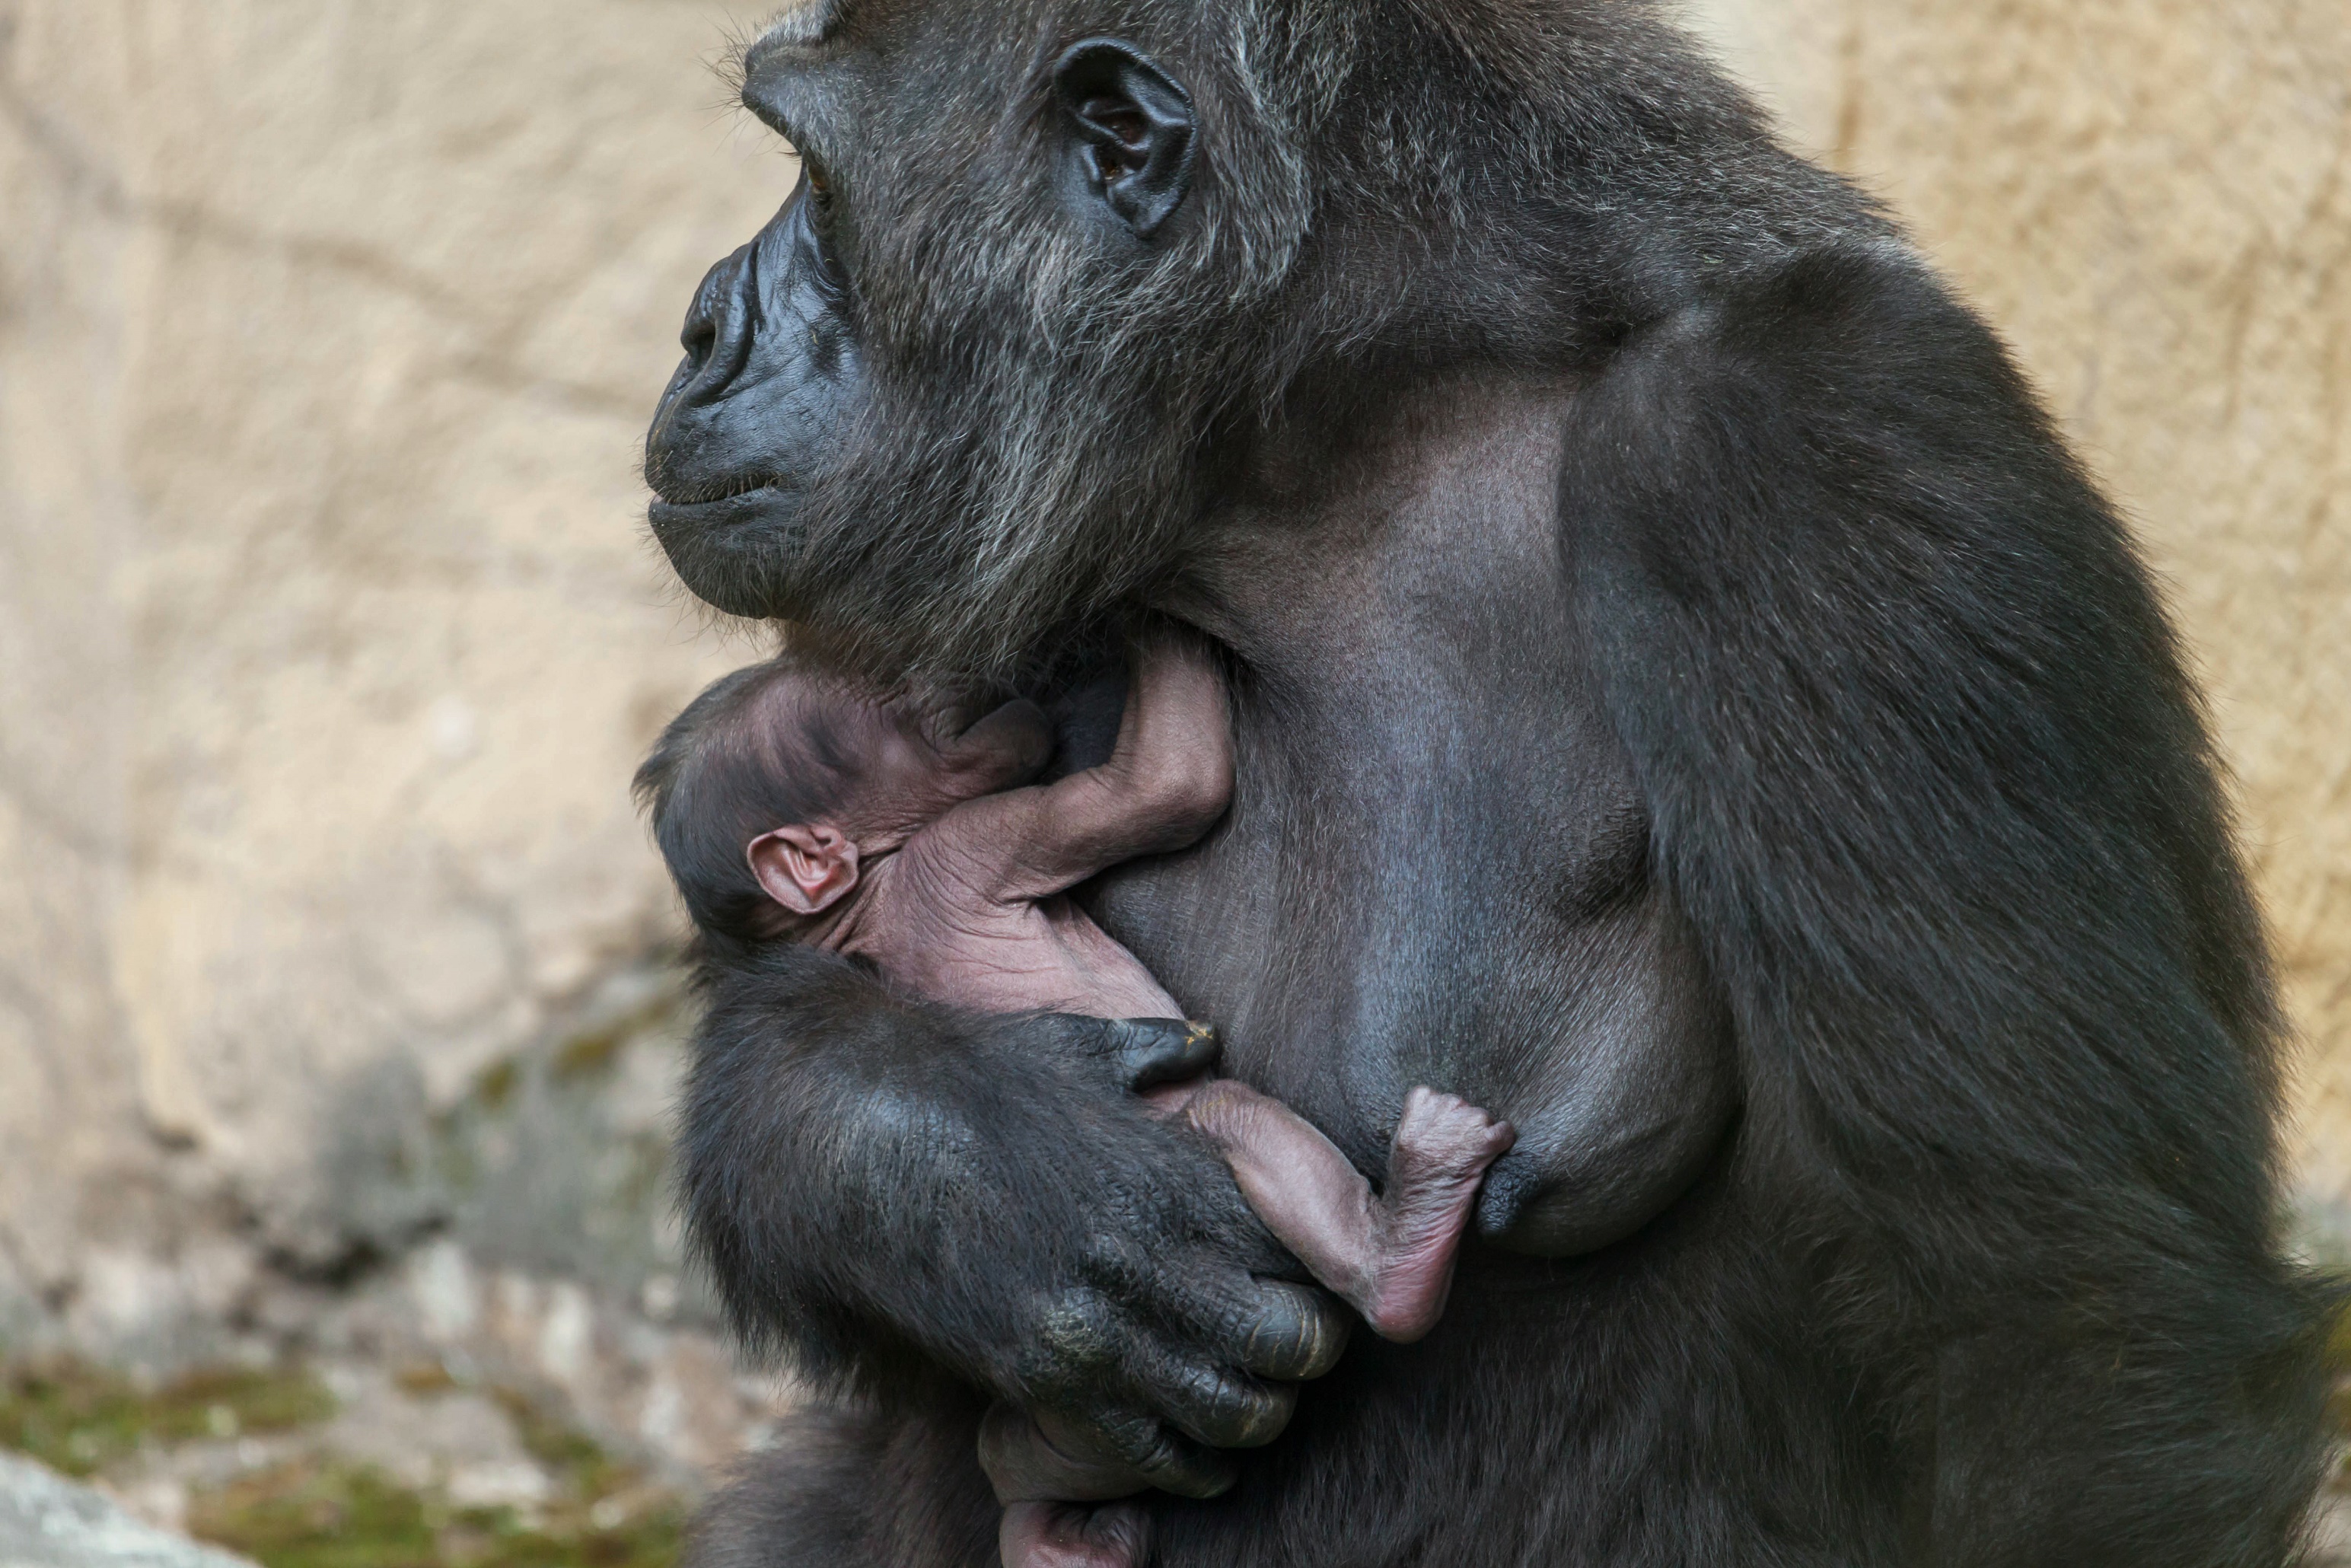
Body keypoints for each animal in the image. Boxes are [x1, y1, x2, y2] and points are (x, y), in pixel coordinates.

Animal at [641, 2, 2333, 1563]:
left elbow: (2057, 1341)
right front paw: (941, 1166)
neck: (1347, 439)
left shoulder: (1805, 433)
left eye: (813, 179)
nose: (703, 326)